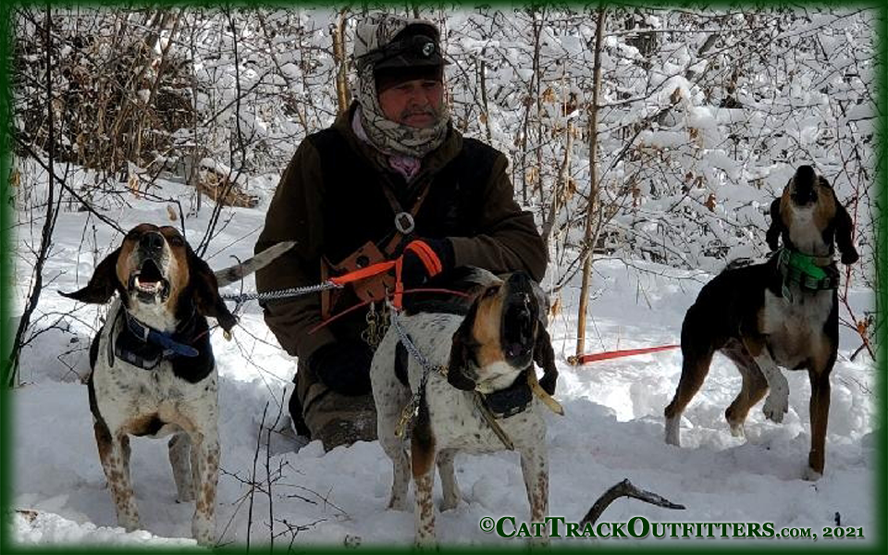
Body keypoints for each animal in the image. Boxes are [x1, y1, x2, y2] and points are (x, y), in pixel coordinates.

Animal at [62, 224, 292, 544]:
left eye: (176, 240)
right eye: (134, 234)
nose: (152, 241)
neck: (157, 346)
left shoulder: (206, 436)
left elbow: (205, 503)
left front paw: (204, 540)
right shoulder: (110, 433)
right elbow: (123, 494)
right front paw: (131, 533)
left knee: (177, 448)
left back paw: (187, 493)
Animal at [372, 270, 560, 548]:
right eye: (490, 292)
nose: (520, 276)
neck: (492, 392)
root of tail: (411, 308)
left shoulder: (534, 452)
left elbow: (539, 507)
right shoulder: (423, 442)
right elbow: (424, 509)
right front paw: (426, 544)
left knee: (445, 461)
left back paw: (453, 502)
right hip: (387, 424)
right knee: (402, 465)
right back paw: (395, 507)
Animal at [664, 164, 860, 478]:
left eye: (825, 182)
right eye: (790, 180)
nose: (804, 169)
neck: (804, 275)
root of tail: (708, 289)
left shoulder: (821, 376)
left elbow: (819, 434)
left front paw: (813, 476)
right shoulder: (752, 333)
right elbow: (779, 377)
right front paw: (777, 407)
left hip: (754, 377)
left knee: (734, 411)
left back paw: (742, 445)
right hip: (699, 359)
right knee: (674, 408)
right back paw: (672, 447)